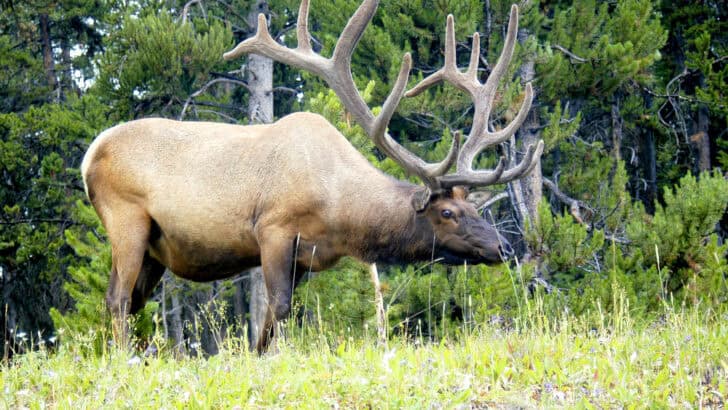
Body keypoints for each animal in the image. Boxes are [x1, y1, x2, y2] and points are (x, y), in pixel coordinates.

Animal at [81, 0, 543, 352]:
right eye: (447, 213)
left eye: (474, 207)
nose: (503, 247)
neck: (340, 212)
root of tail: (88, 158)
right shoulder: (273, 230)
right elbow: (280, 307)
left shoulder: (305, 256)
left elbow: (275, 316)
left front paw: (259, 355)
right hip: (127, 220)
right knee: (118, 299)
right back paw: (123, 358)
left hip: (156, 250)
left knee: (131, 300)